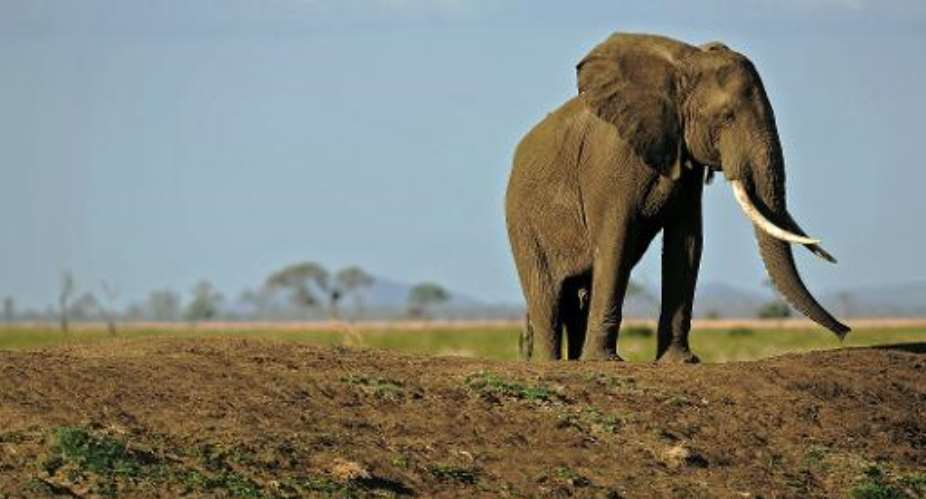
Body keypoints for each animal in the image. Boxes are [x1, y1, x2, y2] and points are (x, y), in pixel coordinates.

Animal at [505, 32, 850, 362]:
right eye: (726, 116)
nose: (845, 332)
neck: (684, 64)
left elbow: (686, 243)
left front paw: (681, 361)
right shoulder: (610, 162)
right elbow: (616, 241)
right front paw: (605, 362)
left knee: (577, 295)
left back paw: (574, 360)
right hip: (522, 223)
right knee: (548, 297)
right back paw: (552, 362)